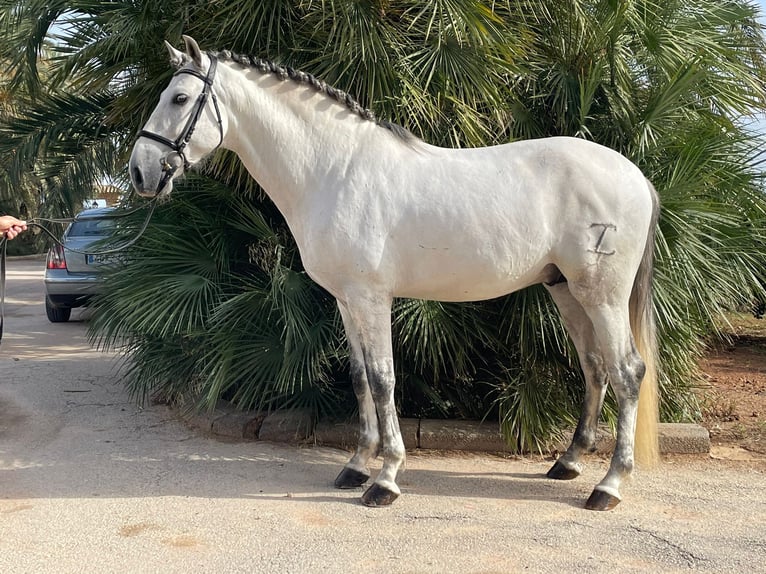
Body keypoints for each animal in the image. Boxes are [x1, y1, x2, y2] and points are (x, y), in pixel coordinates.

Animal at [130, 36, 660, 512]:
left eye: (180, 98)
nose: (140, 173)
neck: (335, 170)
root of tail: (635, 176)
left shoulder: (371, 298)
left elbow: (384, 379)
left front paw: (385, 480)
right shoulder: (346, 300)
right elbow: (360, 377)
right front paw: (356, 466)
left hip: (603, 296)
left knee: (627, 371)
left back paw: (608, 486)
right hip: (566, 290)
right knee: (594, 367)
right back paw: (568, 463)